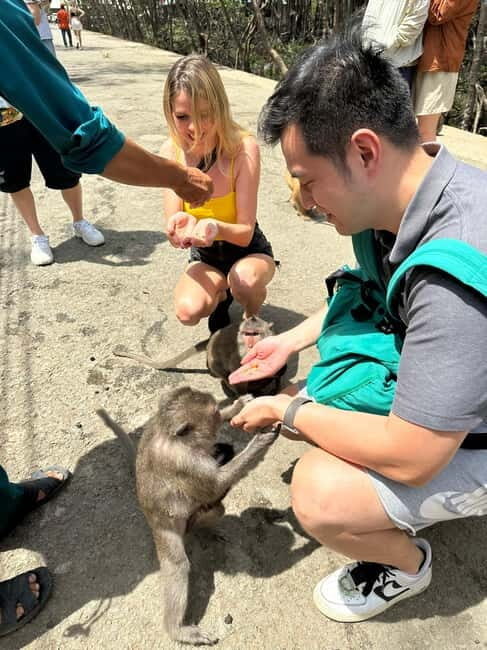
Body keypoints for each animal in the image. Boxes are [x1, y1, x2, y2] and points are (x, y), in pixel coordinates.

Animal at [97, 386, 278, 646]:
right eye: (213, 414)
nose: (218, 418)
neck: (172, 436)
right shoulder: (186, 463)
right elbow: (215, 485)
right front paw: (260, 441)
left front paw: (236, 406)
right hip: (163, 530)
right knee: (178, 565)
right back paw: (177, 630)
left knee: (214, 510)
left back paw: (203, 529)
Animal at [113, 315, 285, 398]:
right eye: (247, 334)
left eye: (255, 334)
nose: (250, 343)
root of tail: (211, 339)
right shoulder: (239, 354)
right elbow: (236, 373)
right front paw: (244, 395)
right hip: (214, 361)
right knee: (222, 372)